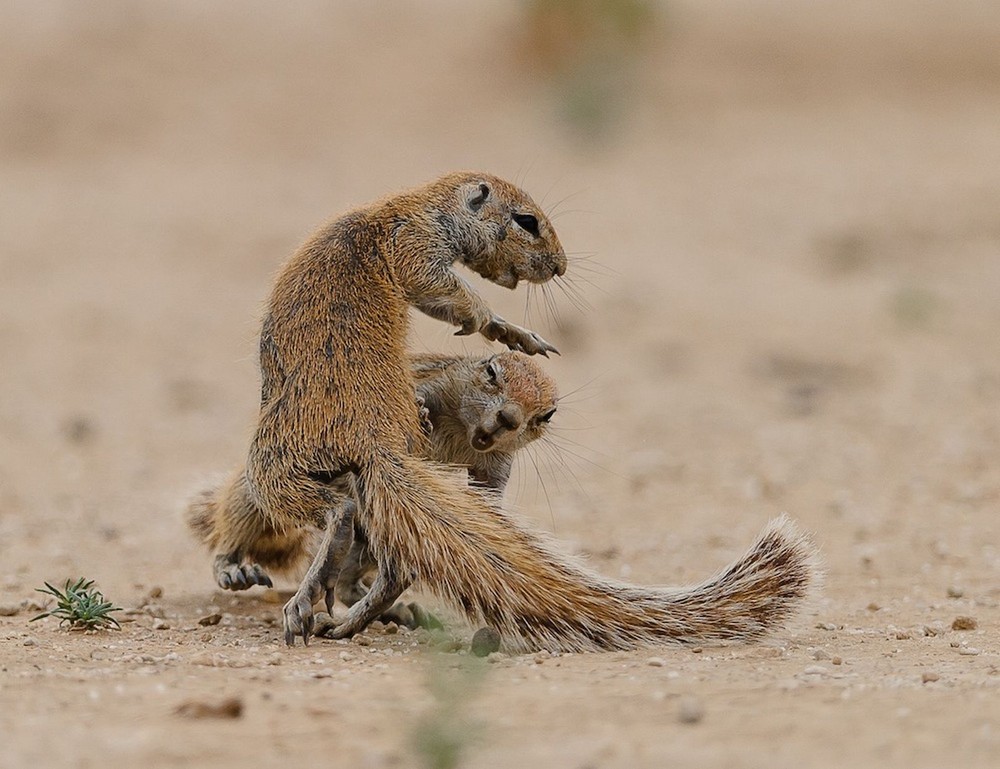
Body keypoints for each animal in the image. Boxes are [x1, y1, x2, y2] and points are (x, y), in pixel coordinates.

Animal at [188, 352, 560, 596]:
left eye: (548, 414)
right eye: (492, 373)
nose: (509, 418)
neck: (463, 434)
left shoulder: (496, 465)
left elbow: (488, 496)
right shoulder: (432, 384)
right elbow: (410, 399)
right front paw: (420, 412)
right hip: (257, 489)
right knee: (235, 523)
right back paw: (233, 566)